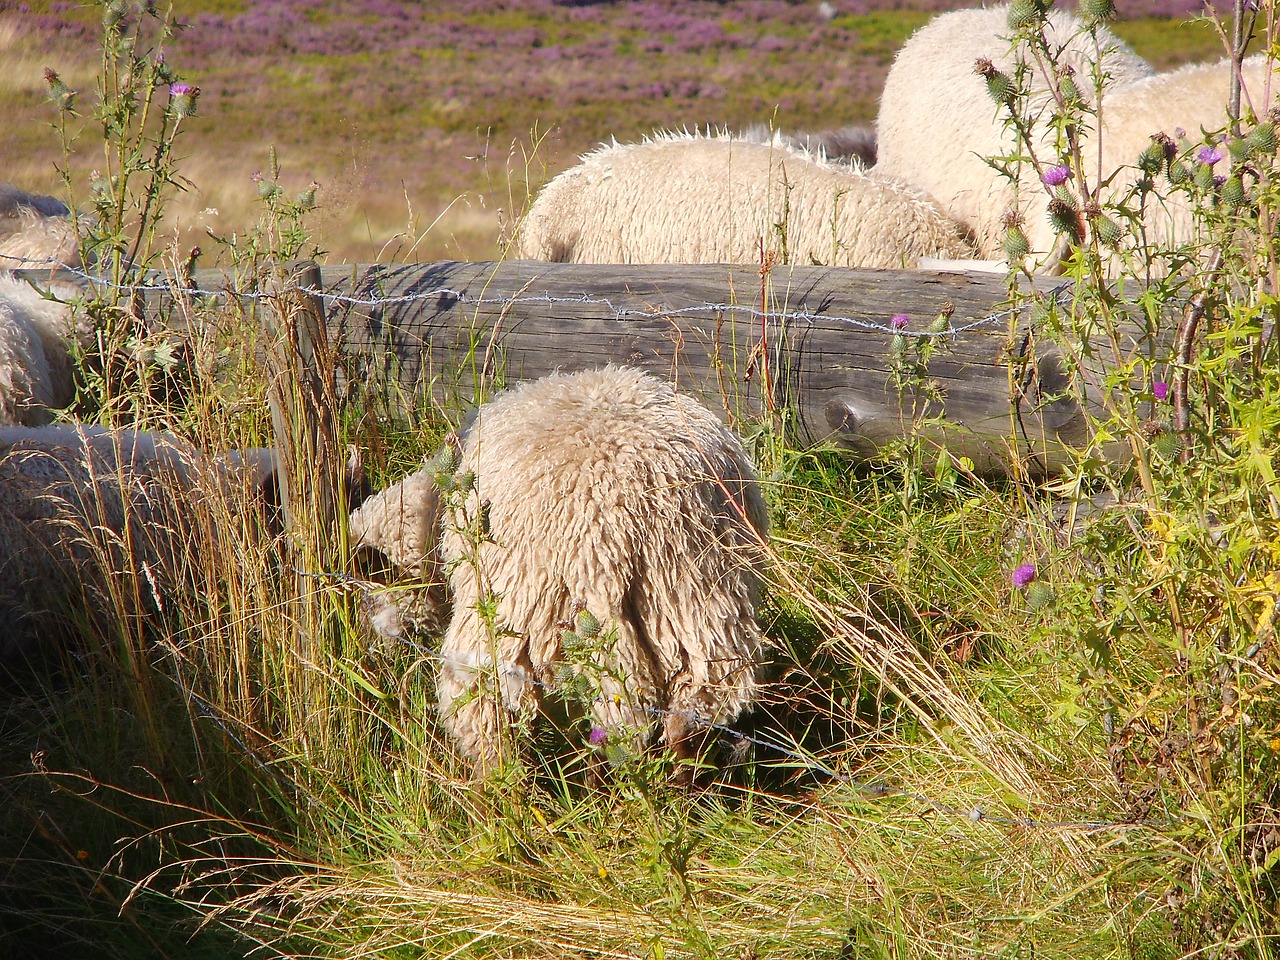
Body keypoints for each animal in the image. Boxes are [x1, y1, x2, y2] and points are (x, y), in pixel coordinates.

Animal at [430, 366, 768, 773]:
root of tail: (614, 515)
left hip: (508, 614)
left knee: (488, 710)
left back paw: (503, 782)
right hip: (701, 596)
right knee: (696, 705)